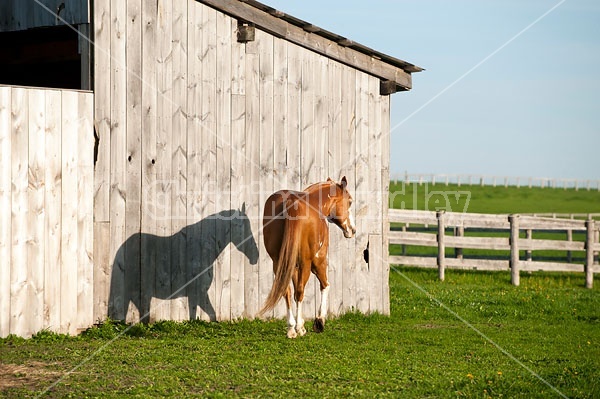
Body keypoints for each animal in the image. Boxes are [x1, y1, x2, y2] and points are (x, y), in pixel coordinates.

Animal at [260, 177, 354, 338]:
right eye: (350, 202)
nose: (352, 230)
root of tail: (290, 202)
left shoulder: (292, 265)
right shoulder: (318, 261)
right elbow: (325, 285)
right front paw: (319, 321)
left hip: (279, 262)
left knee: (287, 291)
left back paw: (292, 328)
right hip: (307, 263)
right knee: (300, 291)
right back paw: (297, 327)